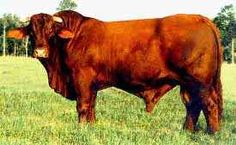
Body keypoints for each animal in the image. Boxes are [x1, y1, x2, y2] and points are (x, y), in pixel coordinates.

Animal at [6, 10, 223, 134]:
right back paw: (187, 131)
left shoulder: (81, 79)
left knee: (209, 105)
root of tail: (200, 18)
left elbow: (82, 106)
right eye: (32, 31)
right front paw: (91, 126)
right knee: (192, 105)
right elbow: (91, 106)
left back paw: (212, 134)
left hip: (199, 82)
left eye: (51, 31)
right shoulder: (91, 84)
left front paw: (81, 128)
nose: (40, 51)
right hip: (188, 84)